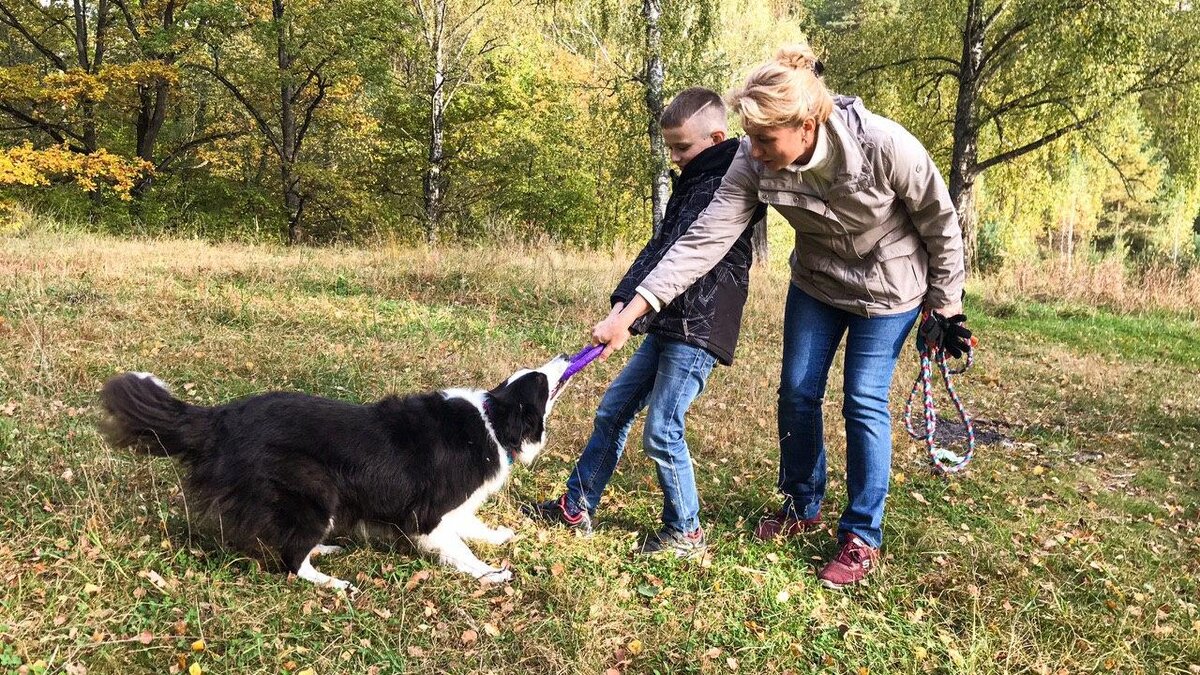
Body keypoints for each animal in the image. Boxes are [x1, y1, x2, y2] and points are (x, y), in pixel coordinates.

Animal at [98, 357, 571, 588]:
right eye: (541, 381)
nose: (567, 355)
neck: (494, 419)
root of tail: (220, 418)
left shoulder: (451, 507)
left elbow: (470, 525)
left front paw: (500, 536)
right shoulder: (427, 512)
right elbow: (459, 547)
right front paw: (491, 574)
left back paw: (324, 551)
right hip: (314, 490)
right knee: (292, 563)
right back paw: (332, 581)